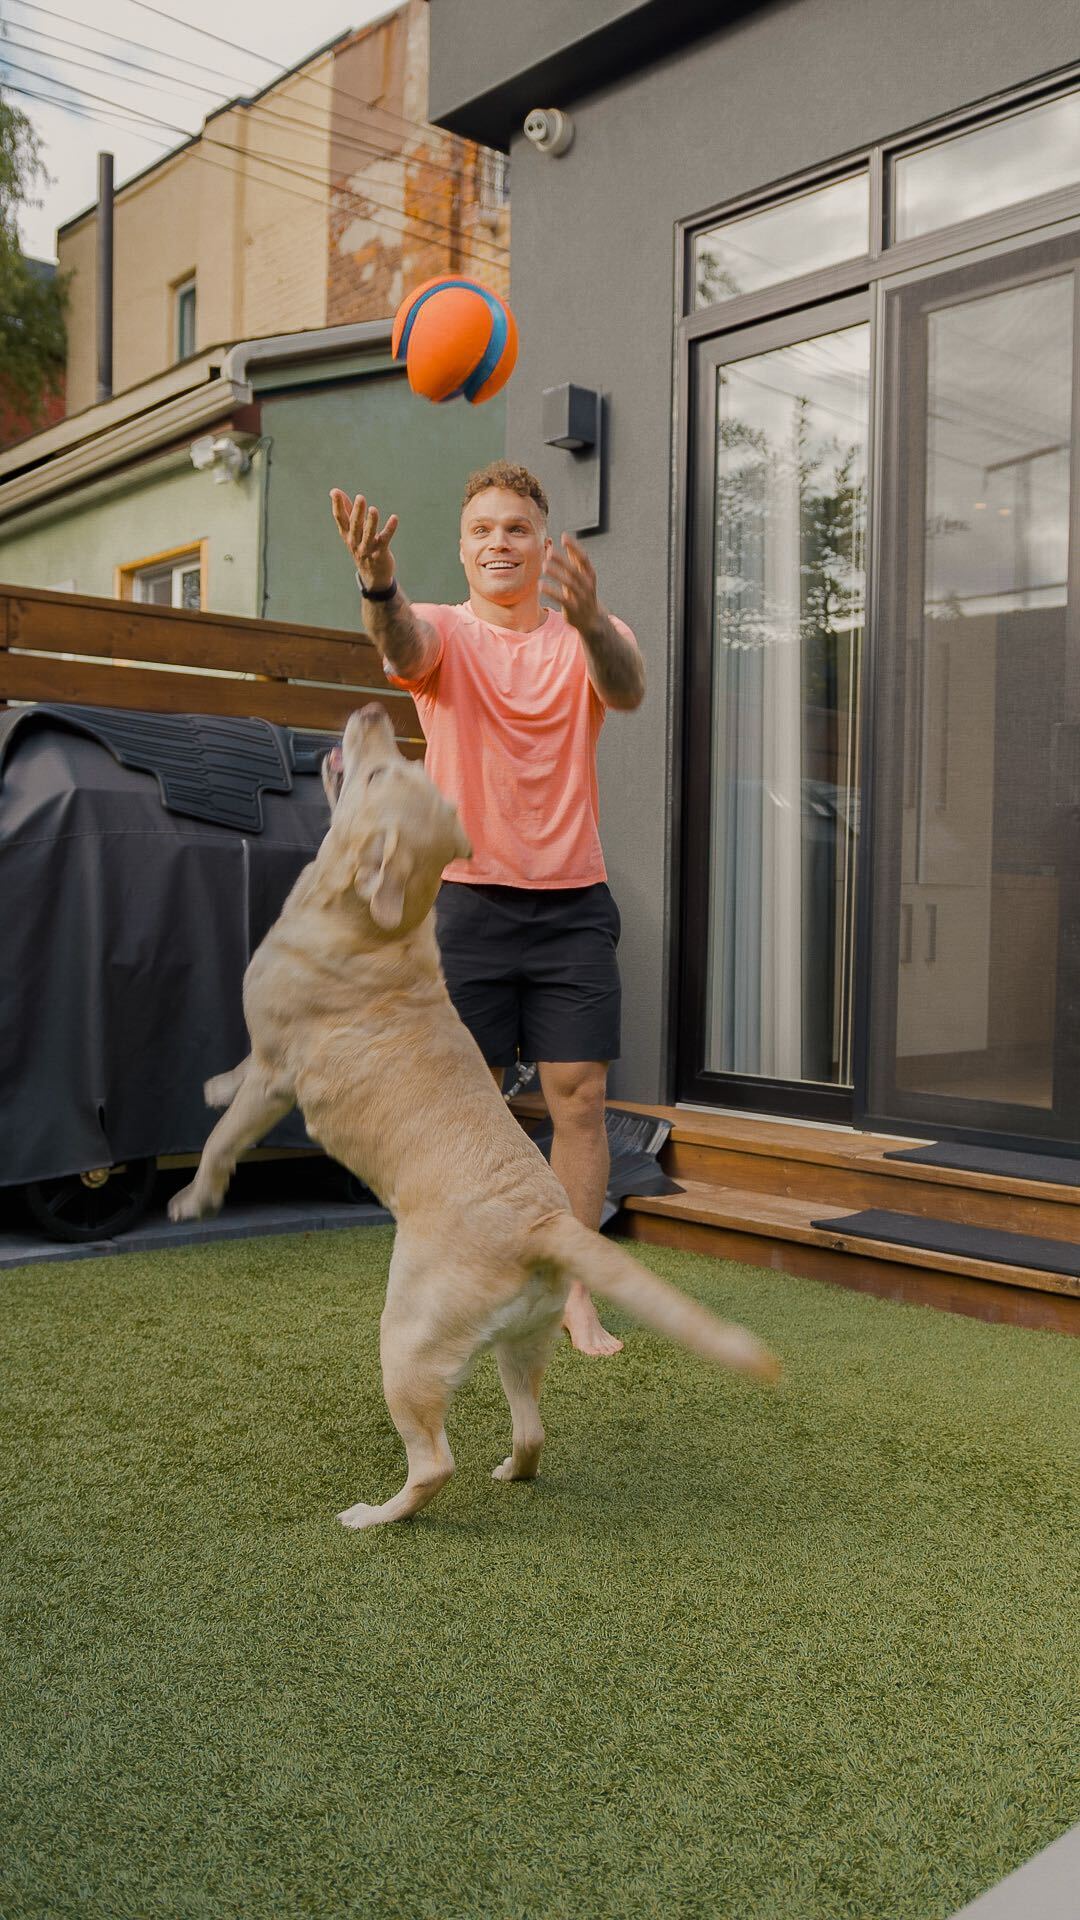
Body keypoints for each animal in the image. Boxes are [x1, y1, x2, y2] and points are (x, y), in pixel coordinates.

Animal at [166, 706, 772, 1528]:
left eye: (381, 773)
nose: (373, 712)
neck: (376, 921)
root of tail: (544, 1225)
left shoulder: (276, 1073)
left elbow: (221, 1141)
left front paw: (191, 1198)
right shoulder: (260, 1062)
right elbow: (227, 1094)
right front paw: (212, 1086)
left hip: (406, 1342)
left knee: (433, 1463)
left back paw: (375, 1516)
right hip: (524, 1343)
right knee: (533, 1431)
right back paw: (511, 1471)